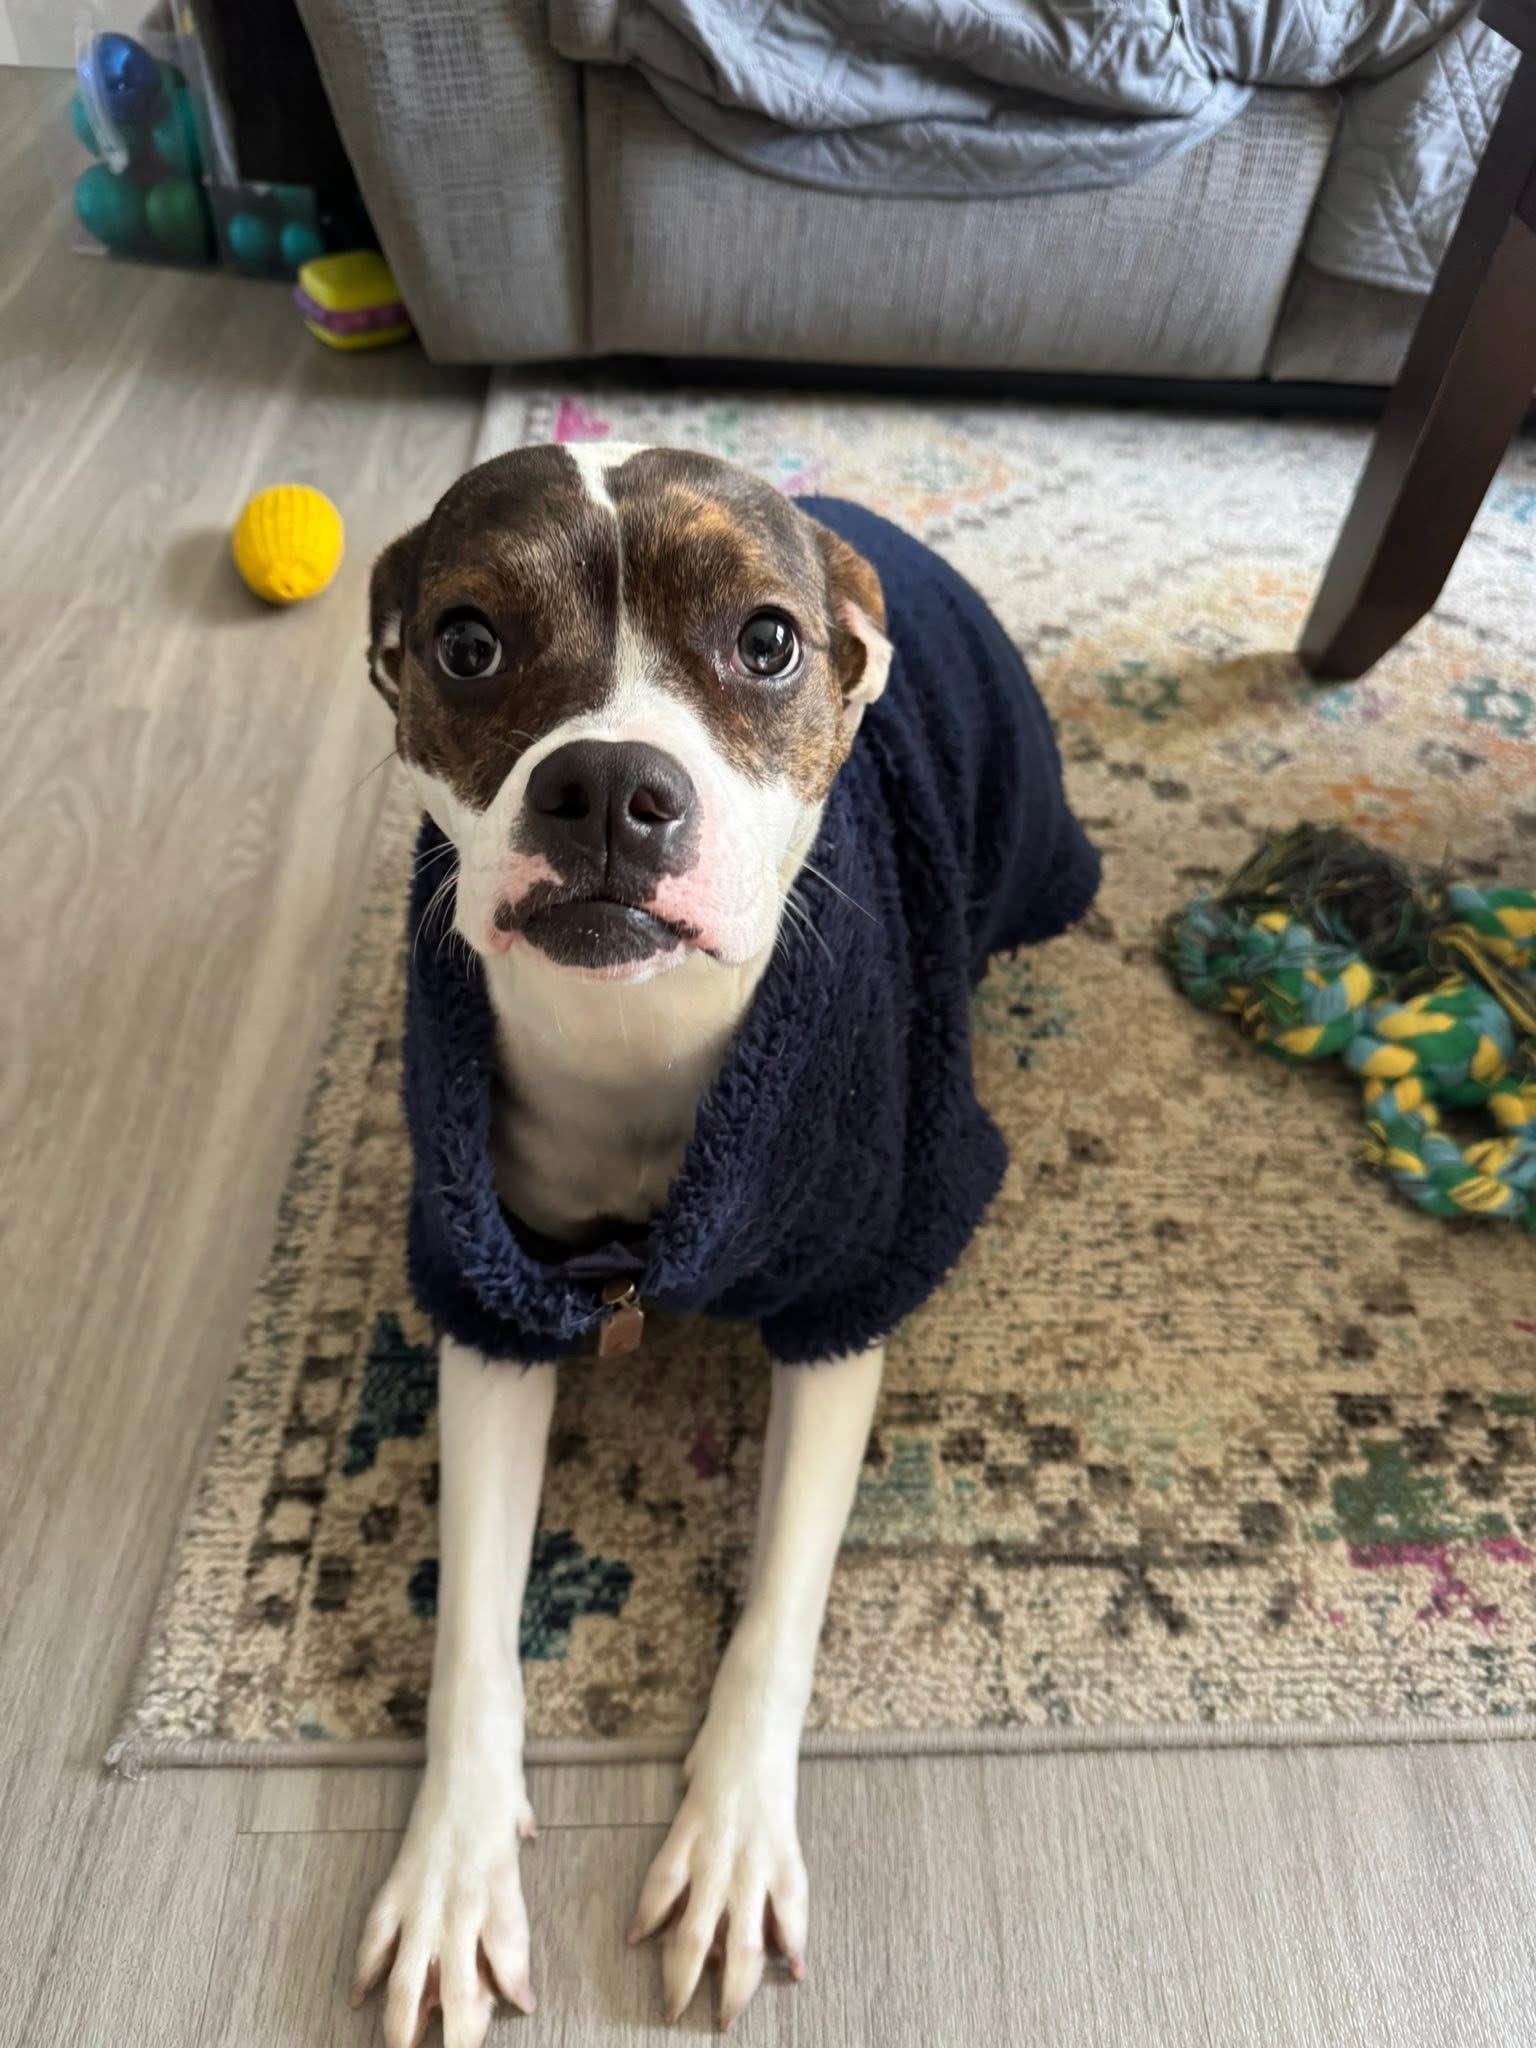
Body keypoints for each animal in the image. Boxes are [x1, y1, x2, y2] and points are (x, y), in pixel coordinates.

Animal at [351, 442, 1098, 2041]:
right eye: (466, 641)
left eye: (766, 642)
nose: (610, 785)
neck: (635, 1042)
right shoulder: (486, 1300)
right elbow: (471, 1623)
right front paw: (451, 1866)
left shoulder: (848, 1296)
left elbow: (785, 1600)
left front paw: (736, 1837)